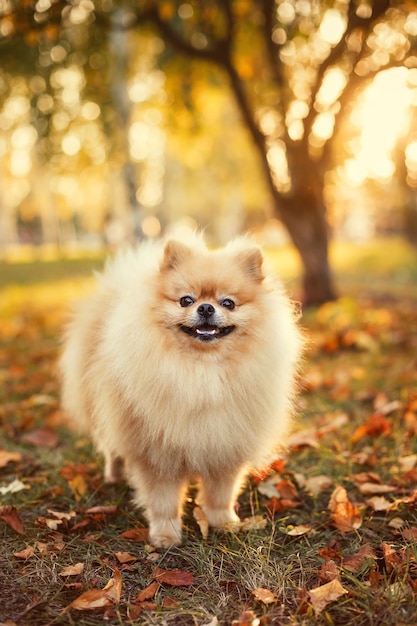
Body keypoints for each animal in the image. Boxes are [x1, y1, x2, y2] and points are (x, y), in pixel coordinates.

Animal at [58, 232, 300, 544]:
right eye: (186, 300)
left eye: (228, 303)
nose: (206, 308)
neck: (201, 374)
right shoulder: (157, 452)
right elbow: (163, 501)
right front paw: (166, 535)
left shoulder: (225, 446)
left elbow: (221, 494)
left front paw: (224, 523)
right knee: (111, 448)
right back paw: (113, 475)